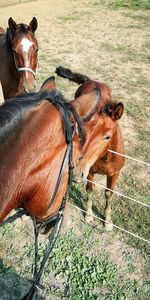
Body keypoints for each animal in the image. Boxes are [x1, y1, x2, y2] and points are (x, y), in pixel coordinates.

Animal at [55, 65, 125, 230]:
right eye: (83, 130)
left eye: (107, 136)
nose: (76, 173)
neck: (106, 157)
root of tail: (91, 80)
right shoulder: (90, 171)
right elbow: (90, 189)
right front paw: (88, 216)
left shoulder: (115, 174)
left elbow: (108, 194)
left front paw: (108, 221)